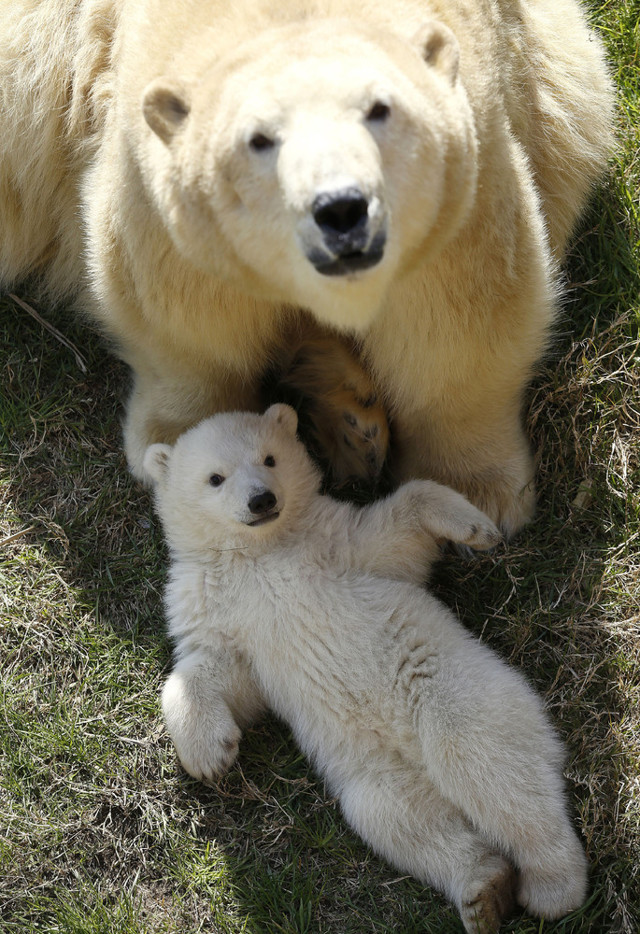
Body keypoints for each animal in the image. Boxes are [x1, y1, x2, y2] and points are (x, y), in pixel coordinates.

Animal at [0, 0, 608, 536]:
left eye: (380, 109)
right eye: (259, 140)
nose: (342, 210)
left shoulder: (462, 195)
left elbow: (460, 329)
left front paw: (475, 491)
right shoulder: (161, 203)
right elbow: (182, 321)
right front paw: (185, 449)